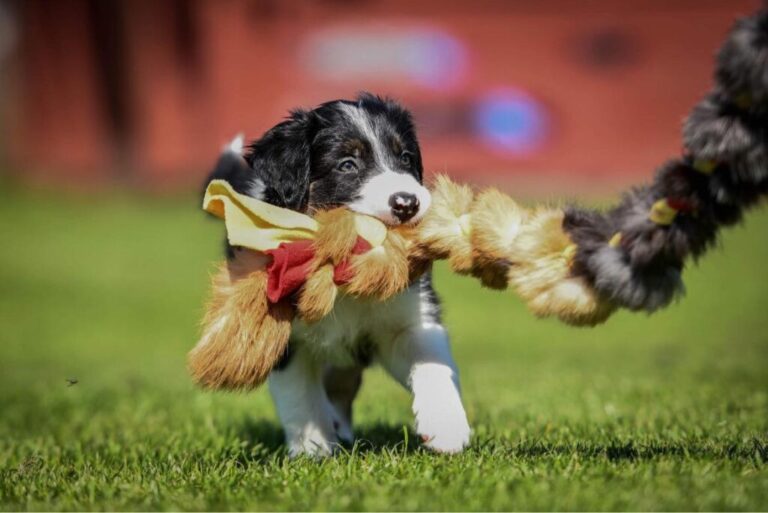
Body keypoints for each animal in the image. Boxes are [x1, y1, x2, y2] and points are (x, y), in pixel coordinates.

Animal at [210, 93, 472, 456]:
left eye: (405, 158)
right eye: (347, 164)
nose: (407, 203)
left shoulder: (408, 317)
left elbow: (432, 364)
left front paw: (447, 428)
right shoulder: (283, 337)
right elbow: (301, 397)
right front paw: (314, 449)